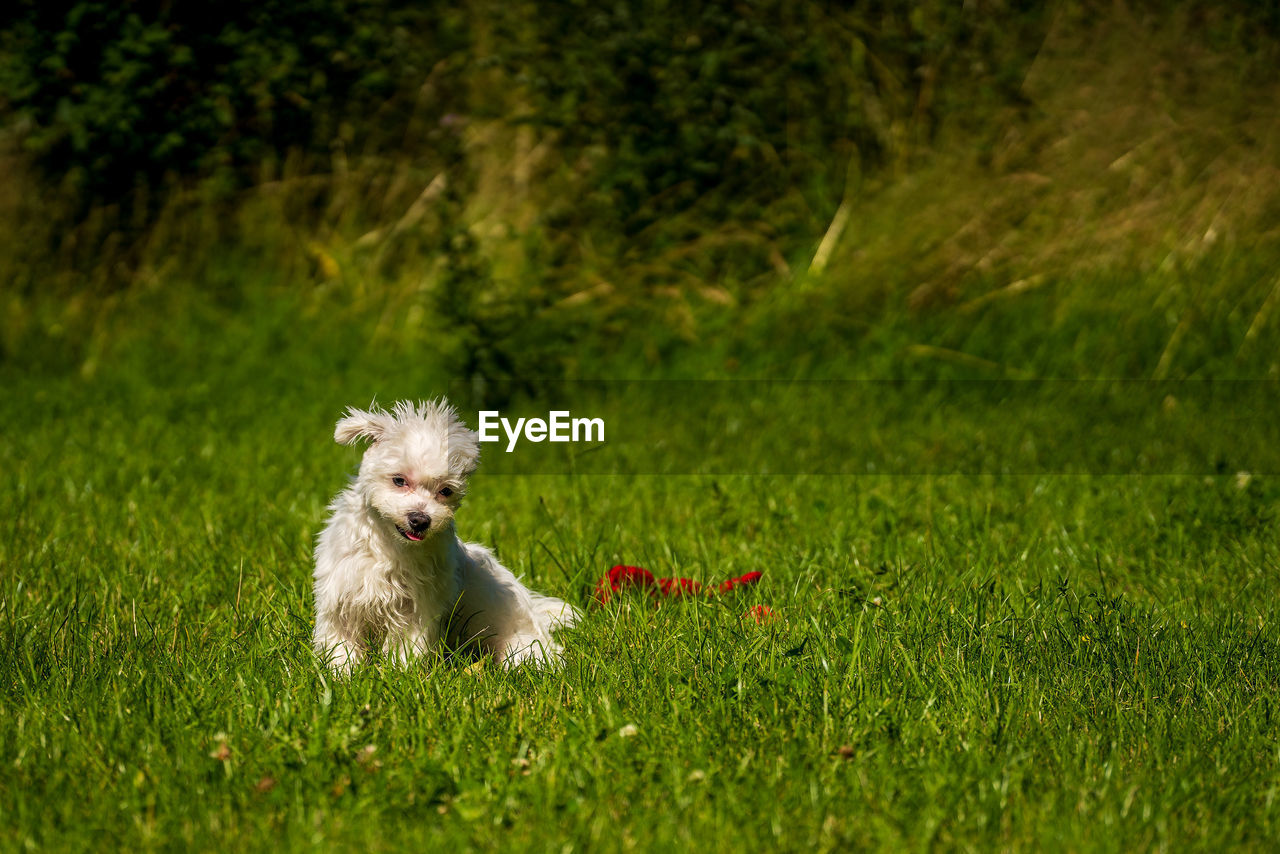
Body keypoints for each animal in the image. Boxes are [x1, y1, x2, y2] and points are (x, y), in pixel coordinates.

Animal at [312, 402, 578, 676]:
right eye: (399, 480)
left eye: (446, 491)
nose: (420, 519)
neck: (390, 546)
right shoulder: (342, 598)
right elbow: (340, 643)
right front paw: (340, 674)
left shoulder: (416, 609)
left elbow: (405, 647)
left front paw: (400, 675)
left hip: (521, 646)